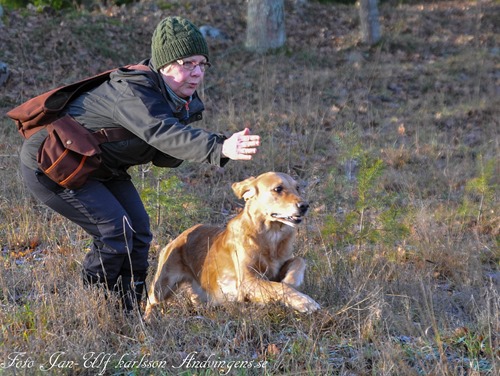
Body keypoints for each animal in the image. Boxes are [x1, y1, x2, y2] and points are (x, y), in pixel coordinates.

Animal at [144, 172, 320, 318]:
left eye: (297, 188)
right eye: (278, 189)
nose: (304, 205)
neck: (270, 237)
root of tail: (177, 238)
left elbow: (298, 261)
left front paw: (291, 280)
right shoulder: (247, 281)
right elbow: (277, 287)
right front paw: (305, 302)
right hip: (162, 285)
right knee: (150, 302)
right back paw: (148, 320)